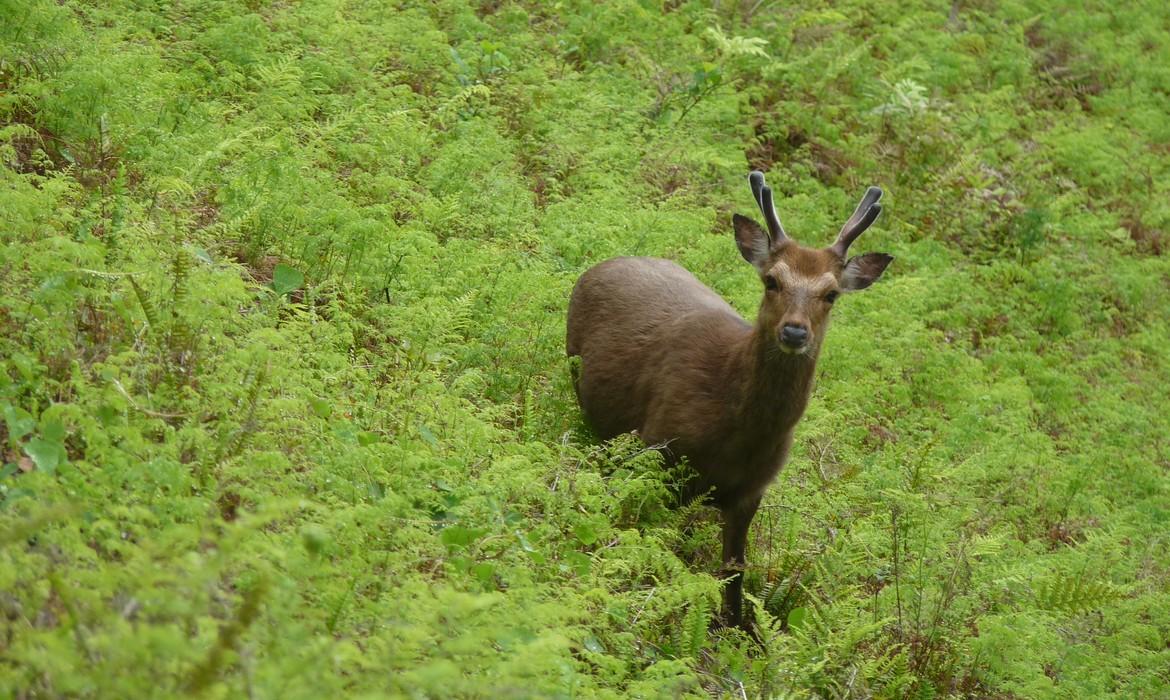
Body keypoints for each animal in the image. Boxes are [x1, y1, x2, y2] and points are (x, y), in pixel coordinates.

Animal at [566, 171, 892, 631]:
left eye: (831, 294)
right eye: (772, 280)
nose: (795, 331)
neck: (737, 432)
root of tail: (607, 262)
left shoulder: (752, 489)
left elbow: (735, 569)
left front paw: (735, 630)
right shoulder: (659, 448)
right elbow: (661, 543)